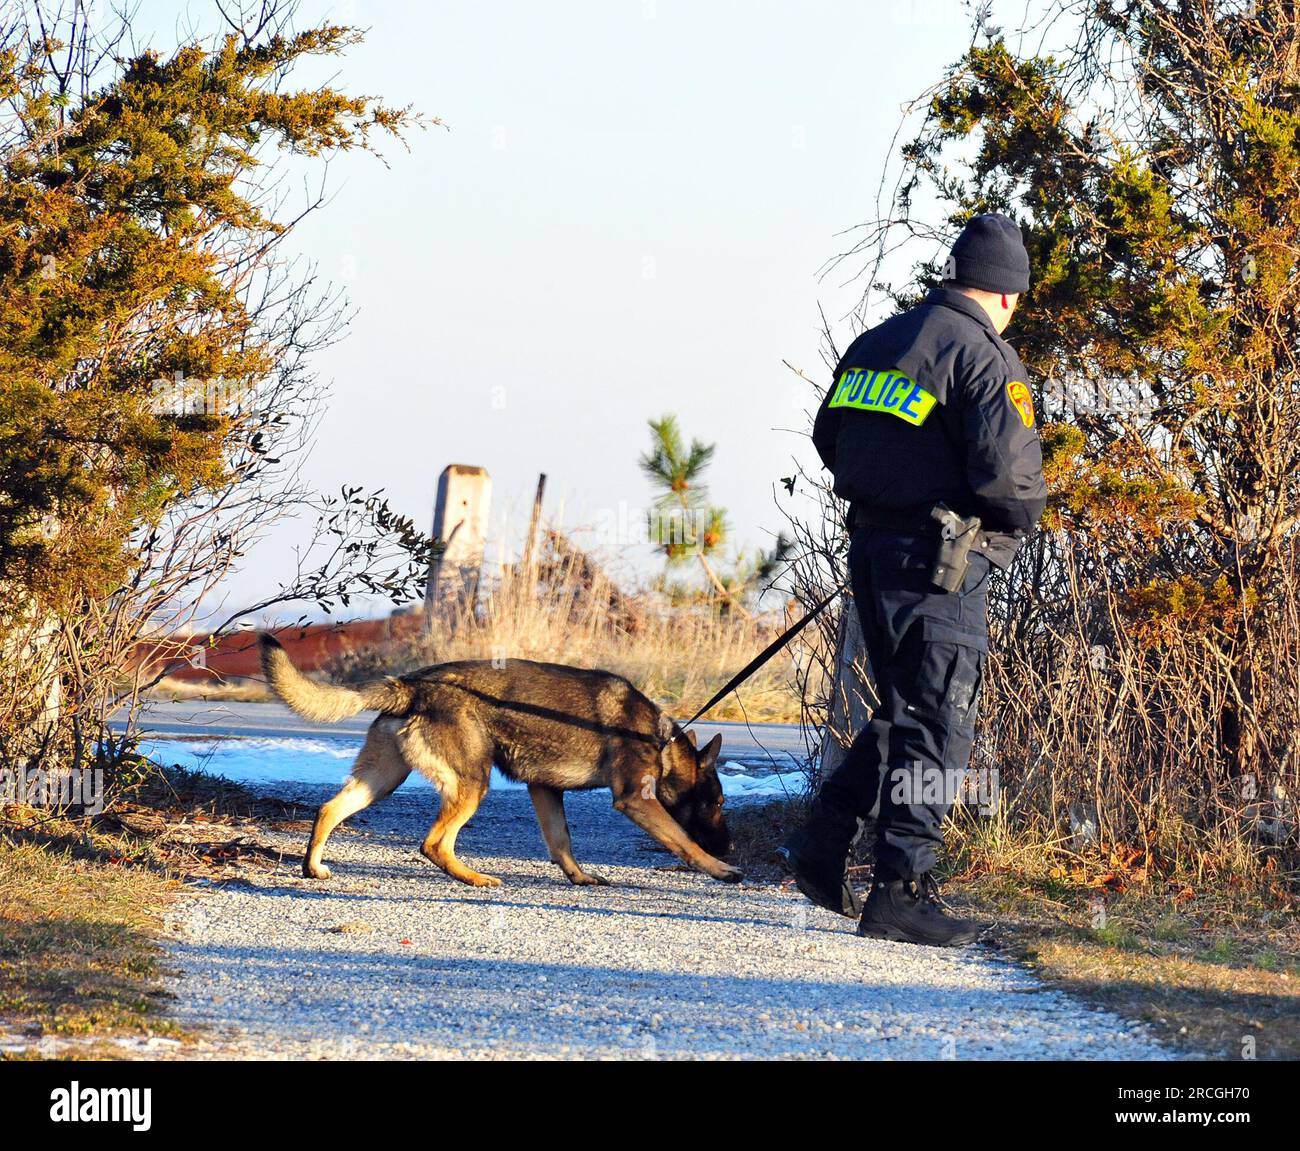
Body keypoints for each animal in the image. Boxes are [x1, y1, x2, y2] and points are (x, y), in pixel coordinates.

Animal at [258, 632, 743, 884]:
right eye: (719, 803)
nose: (732, 846)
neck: (661, 742)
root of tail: (412, 684)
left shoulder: (545, 790)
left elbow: (561, 841)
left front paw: (579, 877)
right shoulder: (635, 801)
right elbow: (683, 842)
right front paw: (720, 868)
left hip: (382, 780)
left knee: (328, 809)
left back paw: (312, 867)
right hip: (472, 783)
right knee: (433, 843)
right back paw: (473, 878)